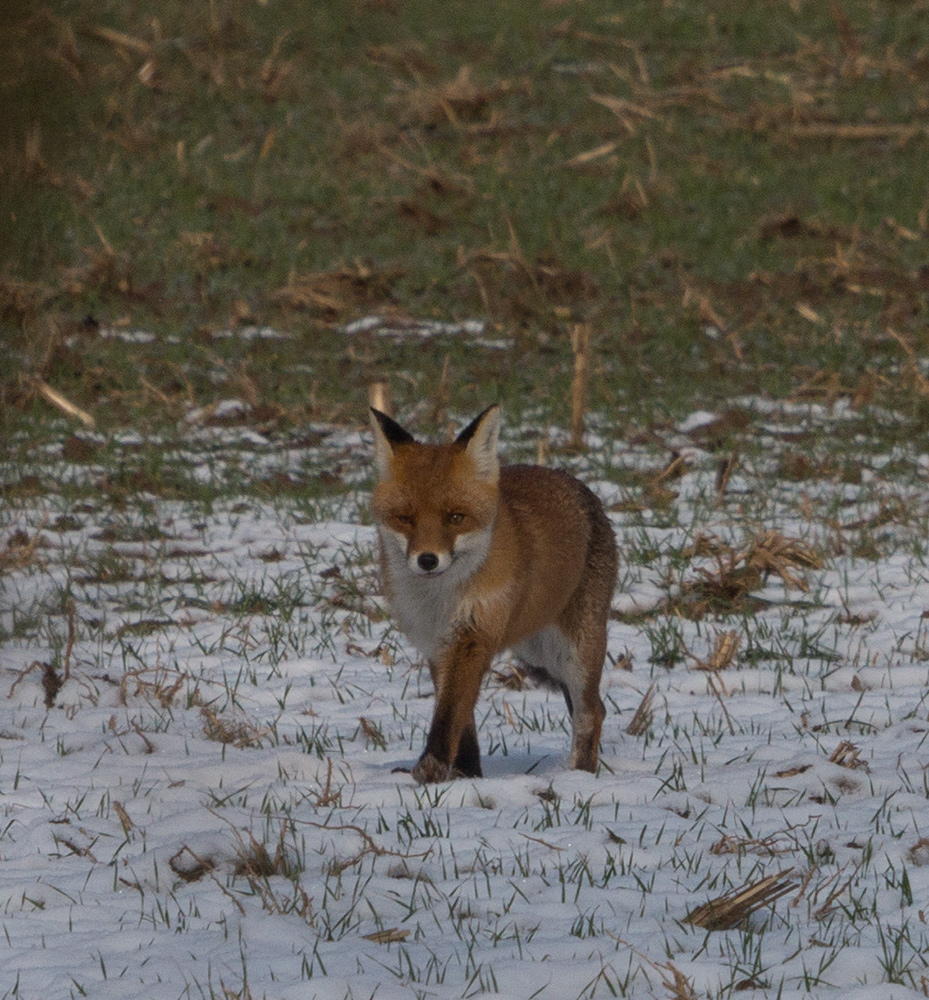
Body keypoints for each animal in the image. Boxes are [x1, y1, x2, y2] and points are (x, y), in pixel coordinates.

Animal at [368, 404, 616, 780]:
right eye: (405, 518)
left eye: (456, 517)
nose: (427, 560)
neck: (439, 599)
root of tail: (579, 486)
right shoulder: (437, 644)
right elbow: (460, 715)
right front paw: (466, 773)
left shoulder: (474, 632)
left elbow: (450, 711)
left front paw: (432, 768)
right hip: (537, 651)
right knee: (590, 707)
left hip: (573, 652)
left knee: (591, 711)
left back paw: (581, 774)